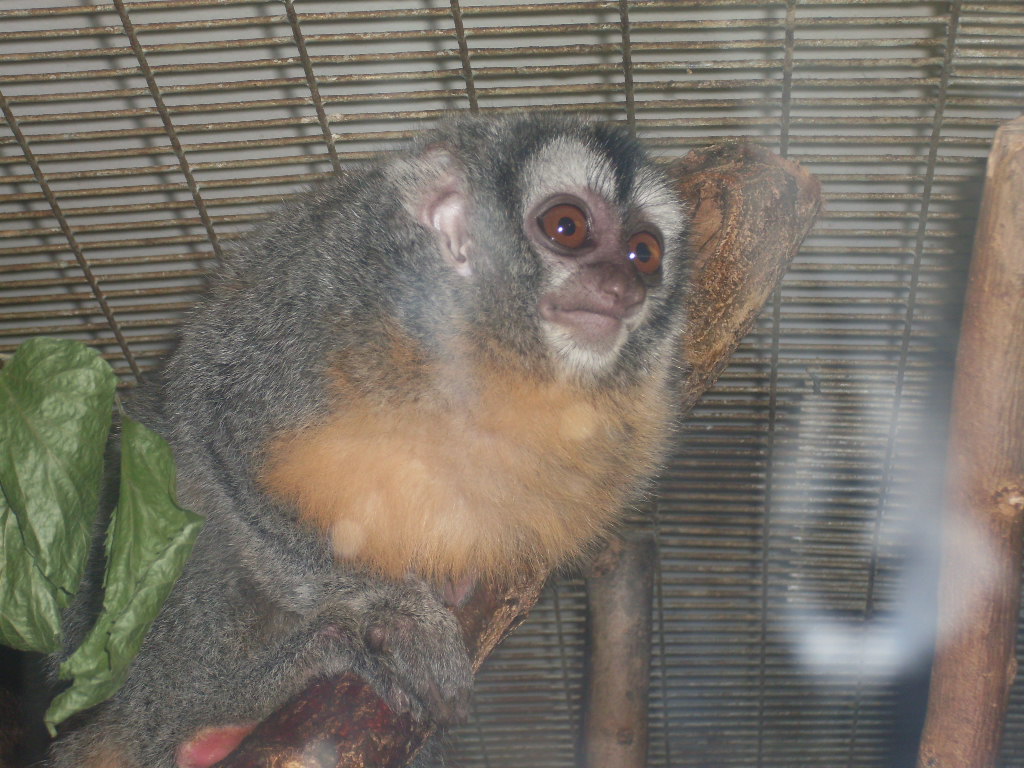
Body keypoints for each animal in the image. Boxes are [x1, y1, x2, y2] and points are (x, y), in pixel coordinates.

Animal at [47, 112, 691, 768]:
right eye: (567, 226)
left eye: (644, 253)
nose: (621, 288)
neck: (491, 353)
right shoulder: (312, 313)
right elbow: (204, 430)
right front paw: (395, 612)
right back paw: (227, 709)